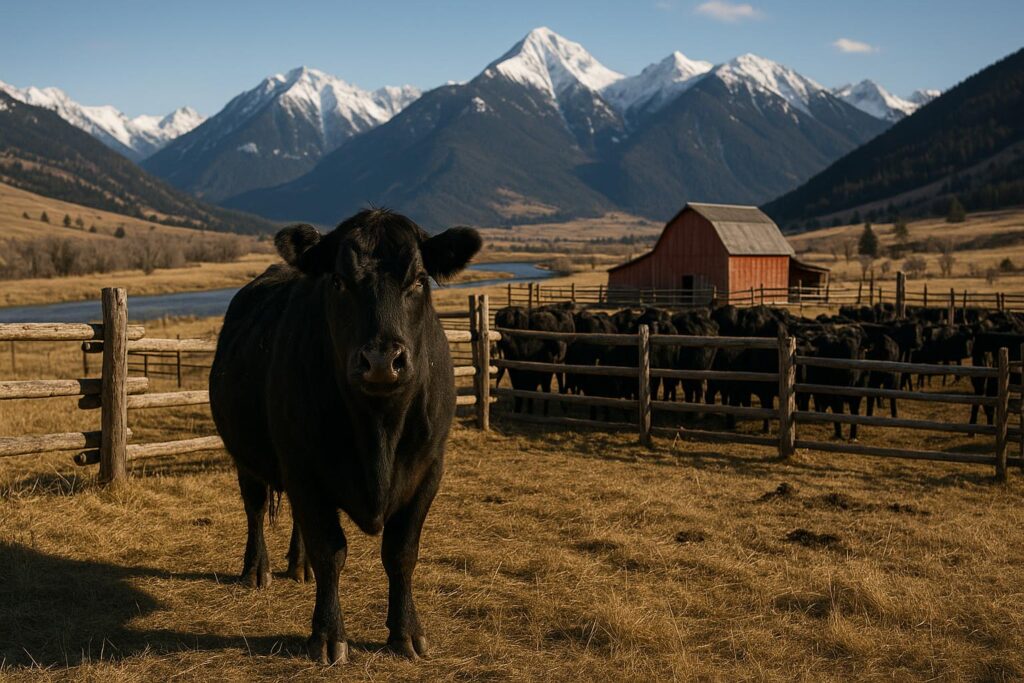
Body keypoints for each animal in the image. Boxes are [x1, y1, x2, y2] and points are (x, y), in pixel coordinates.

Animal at [209, 210, 481, 664]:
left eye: (419, 280)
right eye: (337, 281)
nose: (382, 361)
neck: (378, 431)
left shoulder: (429, 469)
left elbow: (401, 552)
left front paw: (407, 633)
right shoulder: (303, 467)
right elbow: (330, 551)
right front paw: (328, 636)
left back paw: (298, 567)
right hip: (247, 457)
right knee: (255, 507)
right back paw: (256, 570)